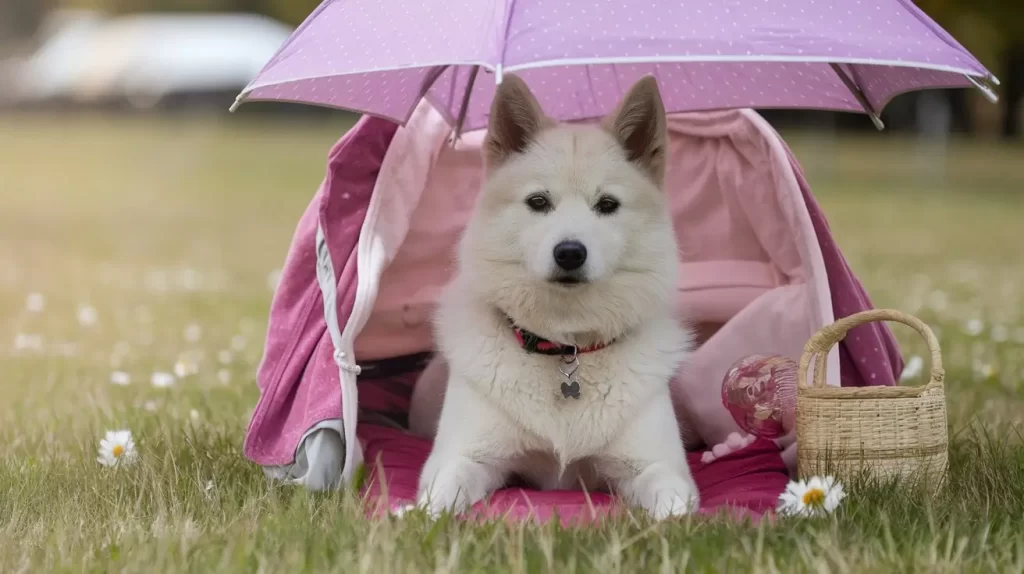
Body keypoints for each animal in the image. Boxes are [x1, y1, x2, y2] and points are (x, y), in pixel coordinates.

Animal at [413, 72, 696, 519]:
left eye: (607, 204)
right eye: (538, 202)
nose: (570, 253)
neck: (566, 348)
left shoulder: (655, 465)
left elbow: (672, 500)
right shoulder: (465, 456)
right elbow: (443, 491)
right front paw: (417, 517)